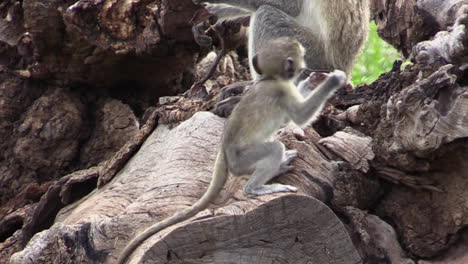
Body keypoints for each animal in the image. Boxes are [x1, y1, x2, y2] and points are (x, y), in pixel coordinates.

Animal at [115, 37, 346, 264]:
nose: (306, 67)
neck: (270, 79)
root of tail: (225, 154)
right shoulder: (281, 91)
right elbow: (299, 117)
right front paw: (333, 81)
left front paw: (314, 81)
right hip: (243, 161)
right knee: (273, 149)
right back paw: (255, 188)